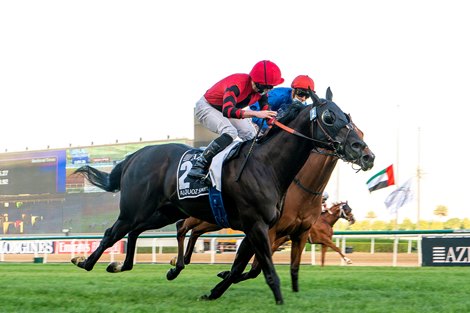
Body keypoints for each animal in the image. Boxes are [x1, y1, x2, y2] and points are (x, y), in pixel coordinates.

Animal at [70, 87, 372, 302]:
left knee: (136, 231)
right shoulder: (258, 226)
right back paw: (85, 261)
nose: (364, 152)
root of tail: (136, 155)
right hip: (136, 209)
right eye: (329, 117)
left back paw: (123, 266)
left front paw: (214, 291)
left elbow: (246, 267)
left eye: (348, 117)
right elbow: (265, 270)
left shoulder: (268, 228)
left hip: (163, 212)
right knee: (113, 232)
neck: (268, 165)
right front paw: (279, 300)